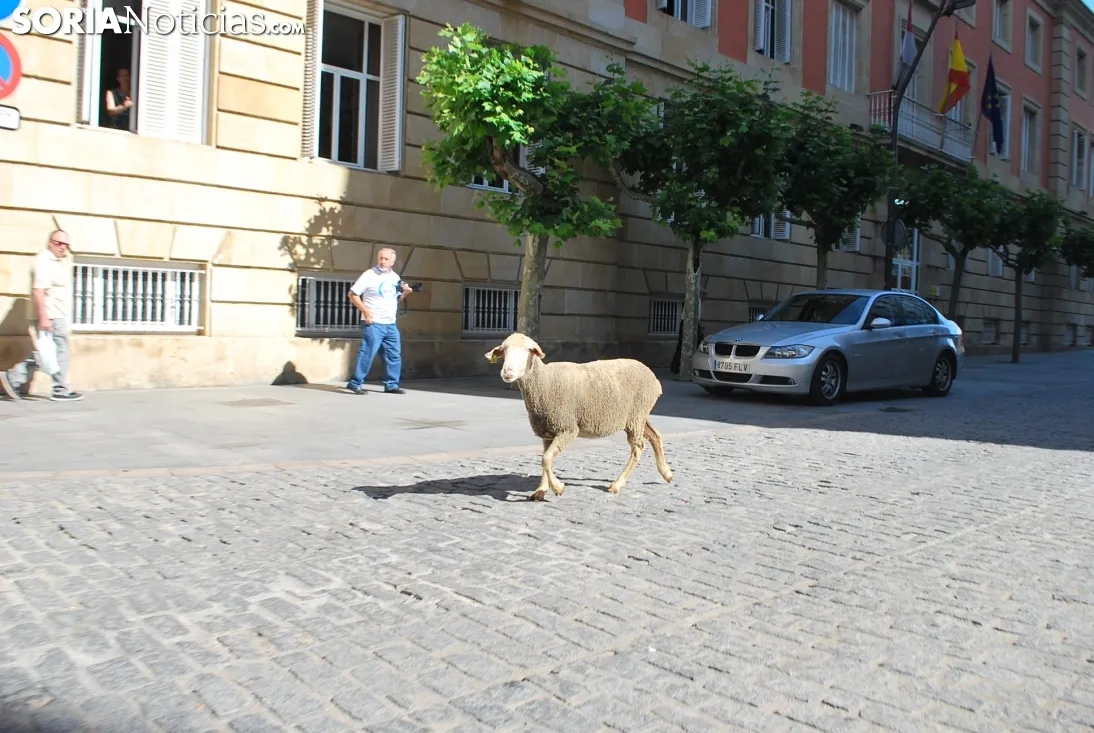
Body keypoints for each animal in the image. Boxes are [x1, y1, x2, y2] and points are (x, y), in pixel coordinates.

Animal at [484, 332, 674, 501]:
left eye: (528, 350)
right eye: (504, 350)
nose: (507, 372)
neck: (544, 382)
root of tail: (654, 379)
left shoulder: (567, 428)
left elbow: (546, 459)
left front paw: (558, 488)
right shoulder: (548, 431)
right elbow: (545, 460)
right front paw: (541, 490)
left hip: (636, 415)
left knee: (638, 447)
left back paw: (617, 484)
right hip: (637, 416)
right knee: (655, 436)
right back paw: (667, 473)